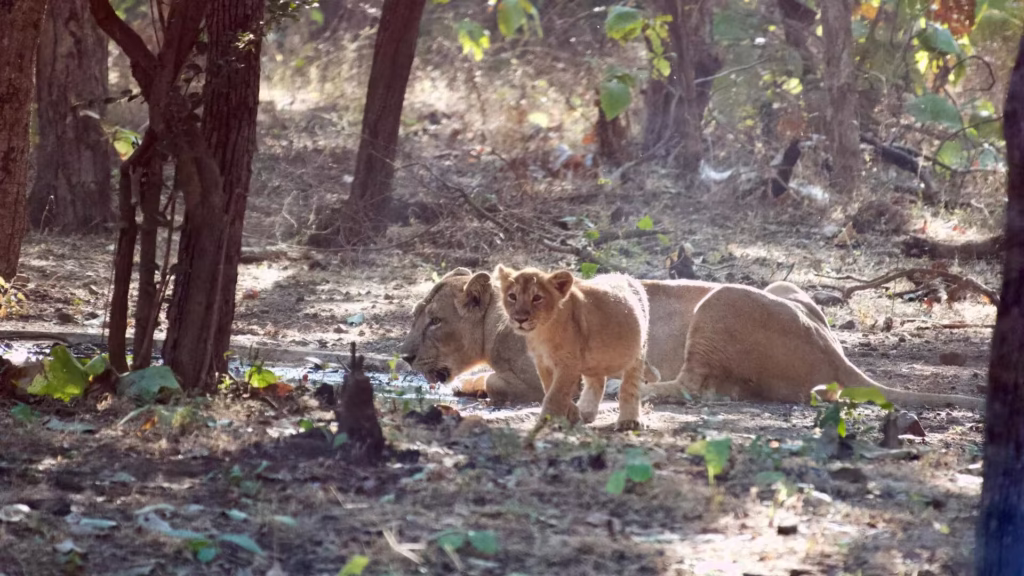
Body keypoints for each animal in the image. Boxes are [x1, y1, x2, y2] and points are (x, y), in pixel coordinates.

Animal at [495, 265, 650, 430]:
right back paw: (586, 411)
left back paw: (629, 420)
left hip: (638, 352)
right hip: (594, 359)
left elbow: (555, 395)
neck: (543, 330)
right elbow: (550, 388)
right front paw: (572, 415)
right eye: (512, 296)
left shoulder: (568, 362)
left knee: (630, 384)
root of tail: (625, 276)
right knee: (596, 381)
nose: (520, 319)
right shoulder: (542, 362)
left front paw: (546, 422)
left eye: (537, 298)